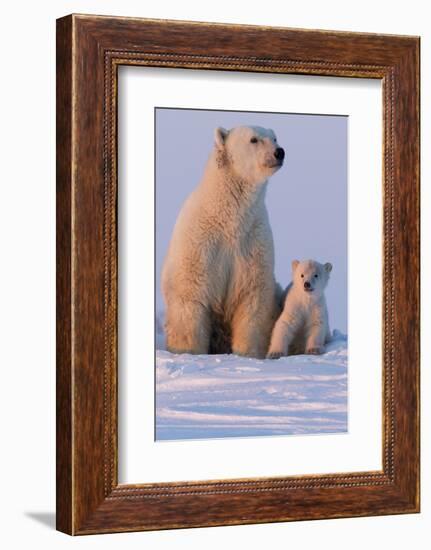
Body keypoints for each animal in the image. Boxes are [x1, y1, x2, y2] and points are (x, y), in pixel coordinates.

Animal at [162, 125, 286, 360]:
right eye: (254, 139)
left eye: (275, 138)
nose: (279, 152)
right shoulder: (201, 242)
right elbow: (190, 294)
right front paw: (189, 352)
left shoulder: (252, 240)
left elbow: (252, 297)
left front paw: (247, 354)